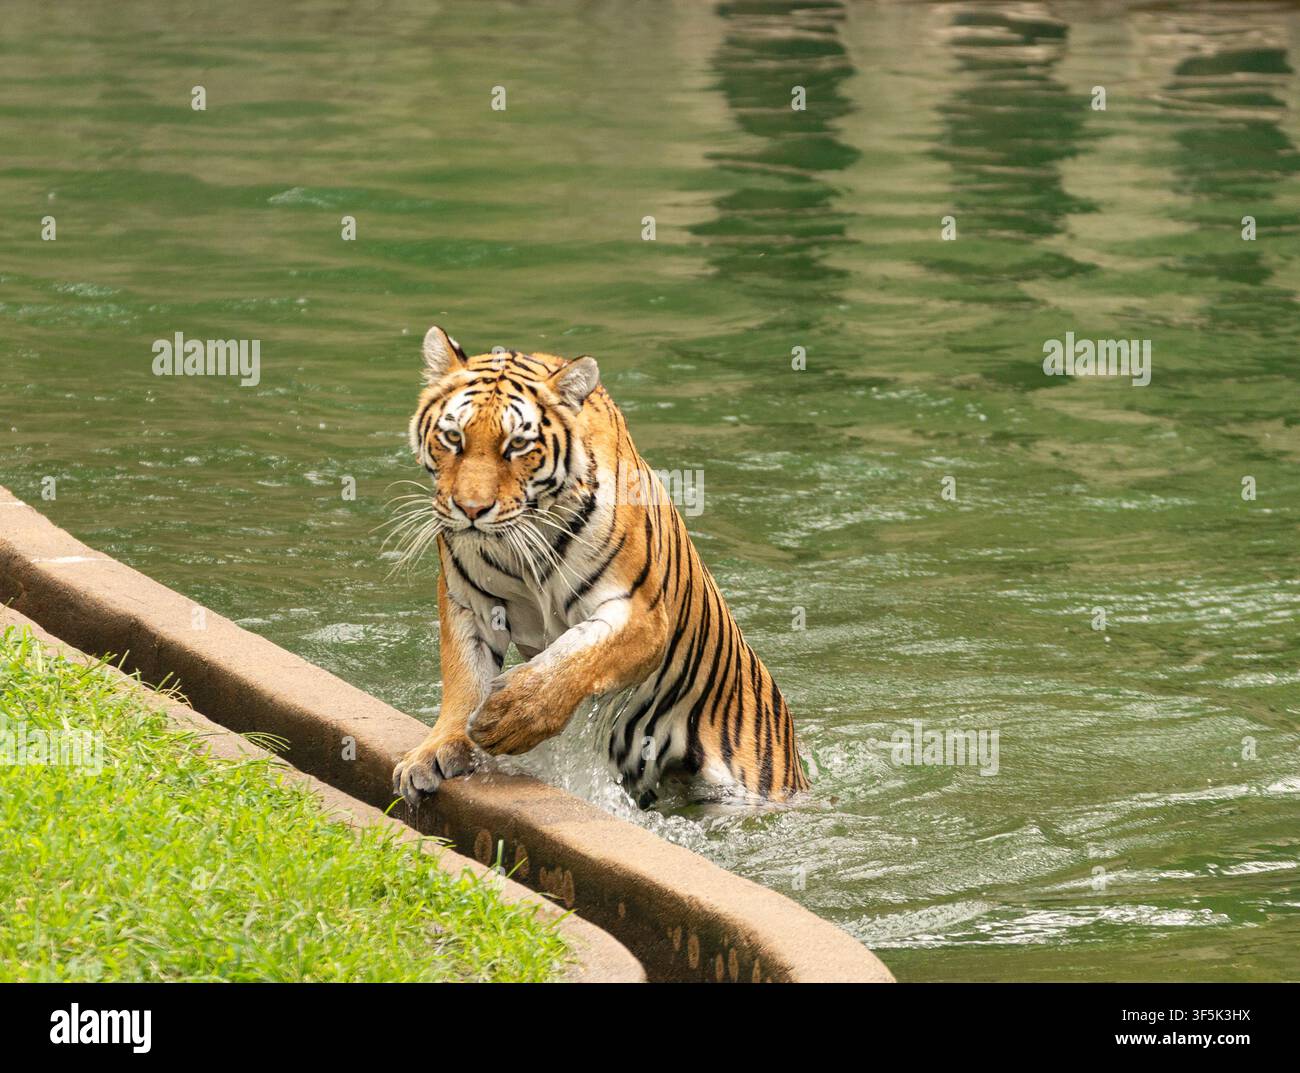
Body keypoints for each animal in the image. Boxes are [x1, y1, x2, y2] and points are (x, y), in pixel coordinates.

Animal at [392, 325, 809, 809]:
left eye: (517, 444)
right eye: (453, 438)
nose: (471, 509)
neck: (522, 542)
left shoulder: (640, 614)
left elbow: (576, 658)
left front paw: (509, 717)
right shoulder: (470, 603)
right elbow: (464, 674)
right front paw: (435, 750)